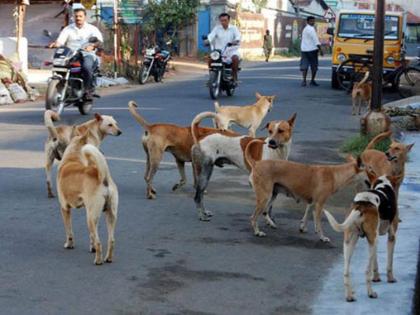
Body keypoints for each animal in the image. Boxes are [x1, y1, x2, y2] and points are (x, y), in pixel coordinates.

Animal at [56, 127, 120, 266]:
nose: (102, 151)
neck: (73, 158)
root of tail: (103, 177)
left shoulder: (64, 208)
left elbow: (69, 230)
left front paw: (69, 244)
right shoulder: (88, 210)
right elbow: (91, 235)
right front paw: (92, 247)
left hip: (90, 218)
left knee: (99, 242)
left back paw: (98, 260)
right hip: (109, 215)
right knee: (111, 240)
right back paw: (108, 258)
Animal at [324, 174, 400, 302]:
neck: (383, 184)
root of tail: (361, 205)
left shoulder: (374, 241)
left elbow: (376, 263)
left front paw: (377, 277)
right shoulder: (391, 237)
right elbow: (389, 264)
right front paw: (390, 278)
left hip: (350, 242)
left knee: (346, 272)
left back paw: (349, 295)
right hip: (372, 241)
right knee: (366, 271)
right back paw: (371, 293)